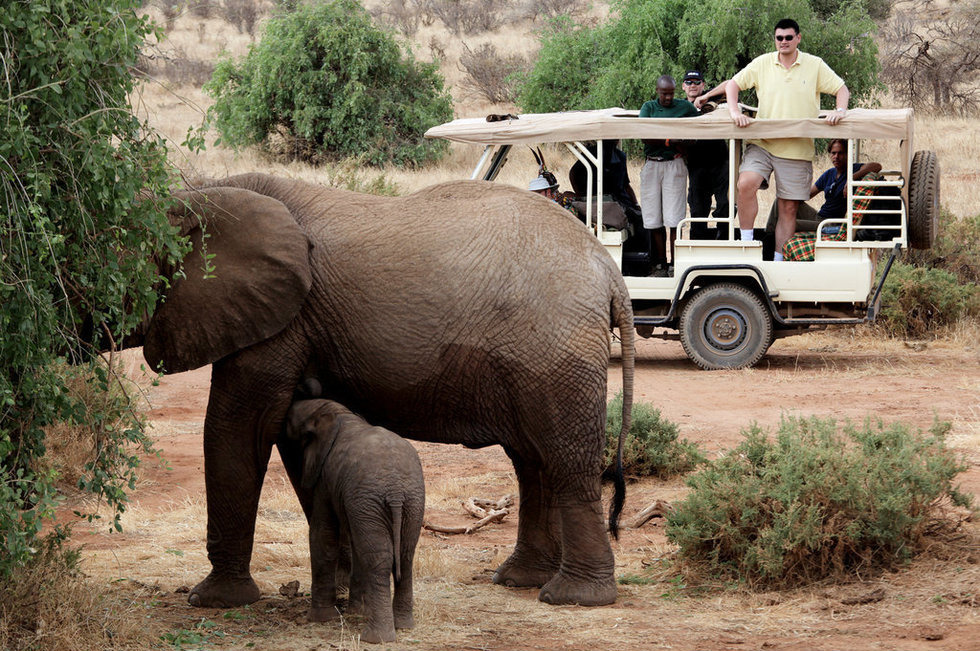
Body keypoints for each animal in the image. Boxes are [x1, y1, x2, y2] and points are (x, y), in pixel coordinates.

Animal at [144, 174, 636, 612]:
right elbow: (289, 435)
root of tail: (610, 273)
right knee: (532, 460)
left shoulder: (278, 322)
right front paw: (347, 585)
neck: (198, 191)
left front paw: (211, 601)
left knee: (565, 459)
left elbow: (238, 428)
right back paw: (519, 579)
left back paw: (572, 597)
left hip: (555, 352)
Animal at [284, 400, 422, 644]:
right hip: (409, 502)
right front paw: (357, 612)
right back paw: (404, 626)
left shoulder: (326, 478)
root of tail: (395, 490)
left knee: (379, 560)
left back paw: (376, 638)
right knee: (405, 555)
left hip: (374, 500)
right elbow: (354, 540)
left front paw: (320, 619)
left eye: (291, 419)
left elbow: (323, 534)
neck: (338, 413)